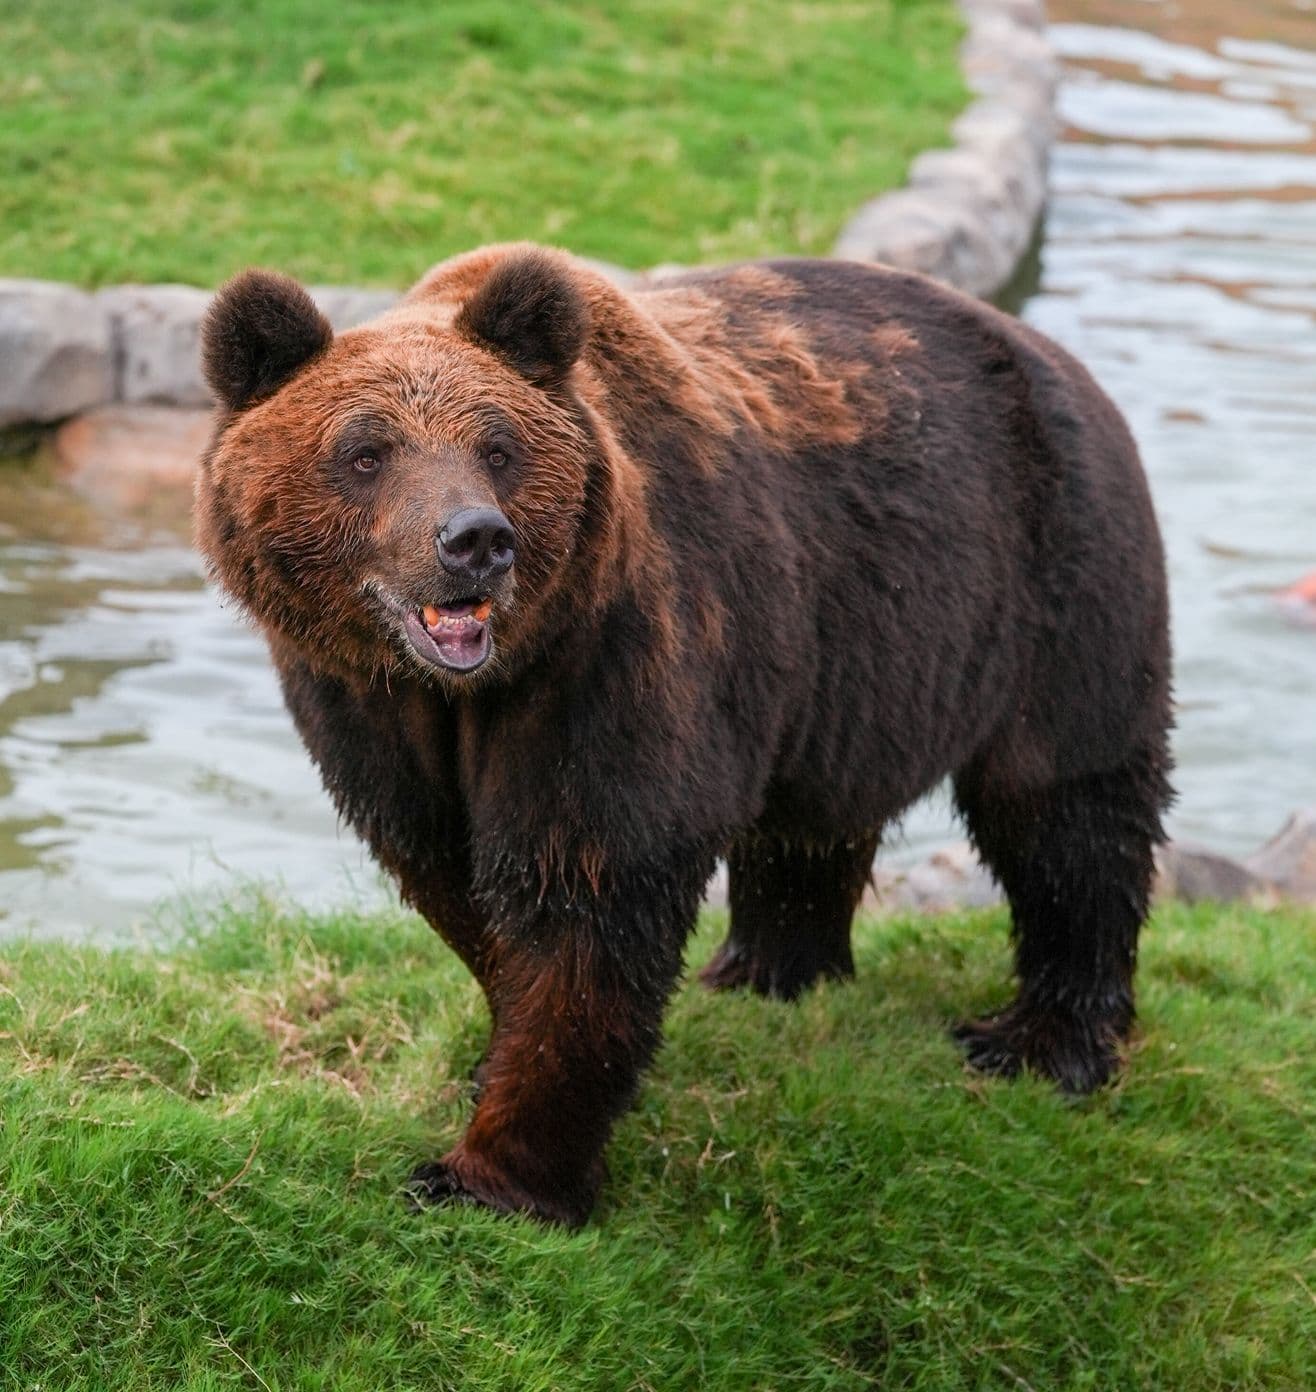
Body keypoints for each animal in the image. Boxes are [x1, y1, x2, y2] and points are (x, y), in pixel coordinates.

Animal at [196, 244, 1173, 1227]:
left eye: (498, 448)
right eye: (365, 452)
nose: (473, 539)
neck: (470, 684)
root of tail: (1046, 348)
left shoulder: (613, 659)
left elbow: (587, 888)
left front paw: (492, 1176)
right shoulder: (366, 707)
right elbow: (448, 872)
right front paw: (490, 1062)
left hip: (1048, 580)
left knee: (1067, 809)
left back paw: (1041, 1041)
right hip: (846, 672)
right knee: (811, 828)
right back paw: (767, 972)